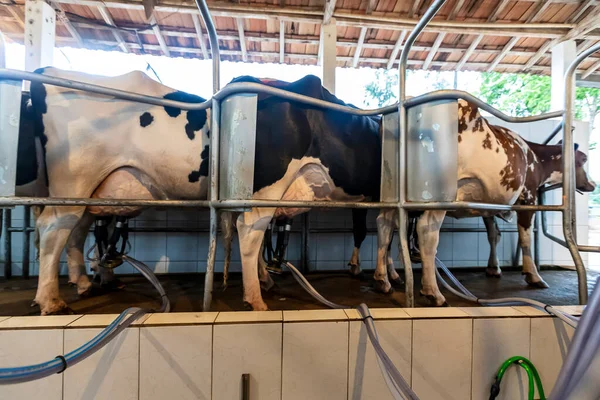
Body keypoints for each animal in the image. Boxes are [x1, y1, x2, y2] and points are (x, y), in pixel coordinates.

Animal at [376, 100, 596, 306]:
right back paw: (433, 292)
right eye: (583, 160)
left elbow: (493, 235)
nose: (593, 185)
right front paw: (533, 275)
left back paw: (383, 280)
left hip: (391, 193)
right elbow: (525, 237)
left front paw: (493, 267)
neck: (534, 157)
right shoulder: (528, 196)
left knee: (385, 224)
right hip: (440, 194)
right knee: (426, 232)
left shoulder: (486, 205)